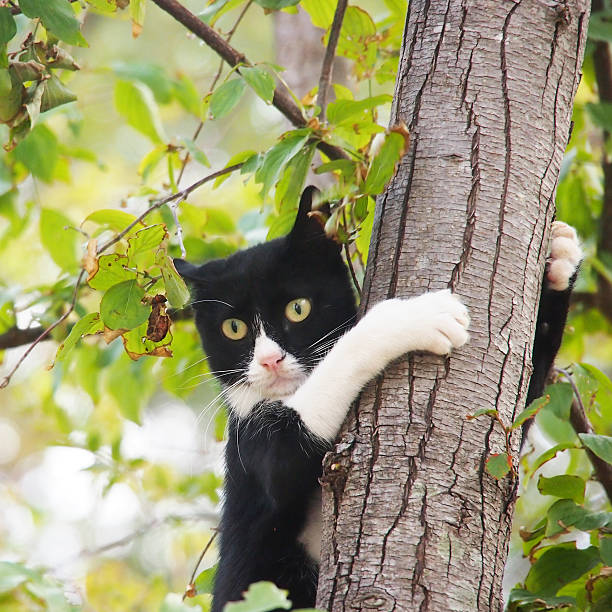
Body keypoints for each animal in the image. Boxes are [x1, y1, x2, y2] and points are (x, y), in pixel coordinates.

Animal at [173, 188, 584, 612]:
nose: (269, 360)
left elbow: (518, 409)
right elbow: (285, 463)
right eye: (234, 328)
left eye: (298, 308)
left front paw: (559, 257)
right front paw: (418, 315)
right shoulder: (253, 451)